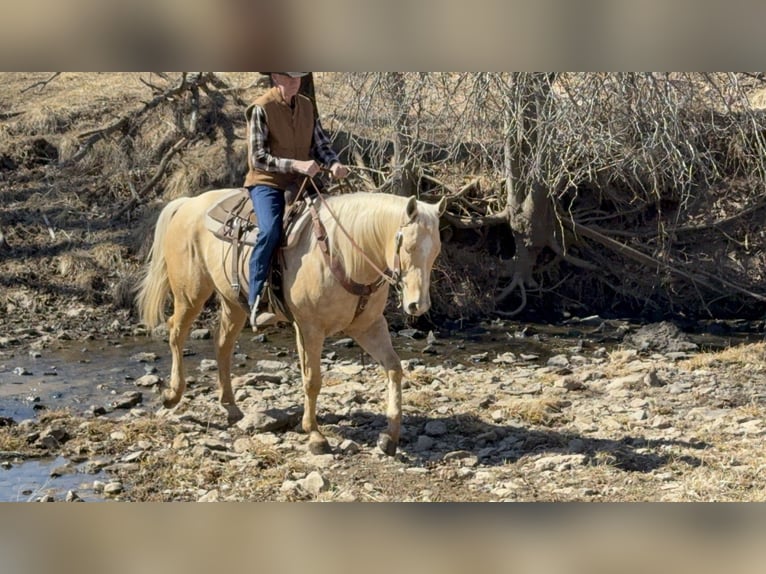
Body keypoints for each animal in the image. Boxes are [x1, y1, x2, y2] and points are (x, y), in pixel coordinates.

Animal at [136, 186, 446, 456]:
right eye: (408, 246)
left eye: (435, 251)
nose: (417, 306)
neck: (343, 254)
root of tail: (187, 203)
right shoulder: (309, 329)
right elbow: (312, 380)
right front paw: (315, 435)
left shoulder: (368, 327)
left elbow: (393, 368)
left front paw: (389, 436)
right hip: (190, 294)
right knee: (176, 332)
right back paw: (172, 394)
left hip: (233, 303)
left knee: (222, 344)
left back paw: (231, 407)